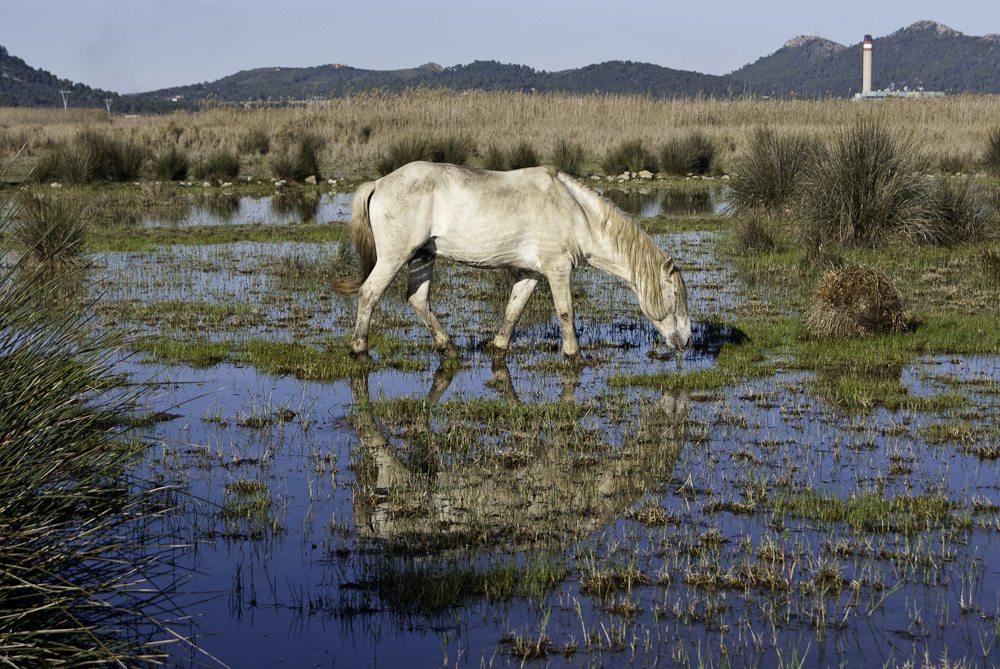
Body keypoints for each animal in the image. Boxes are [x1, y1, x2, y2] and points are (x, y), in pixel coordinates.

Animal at [332, 162, 692, 360]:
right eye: (675, 295)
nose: (687, 341)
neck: (578, 214)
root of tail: (379, 183)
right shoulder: (558, 269)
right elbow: (566, 313)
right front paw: (575, 355)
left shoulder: (531, 272)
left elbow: (513, 310)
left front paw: (499, 348)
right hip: (395, 257)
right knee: (369, 294)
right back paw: (359, 349)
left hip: (422, 257)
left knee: (418, 299)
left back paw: (448, 348)